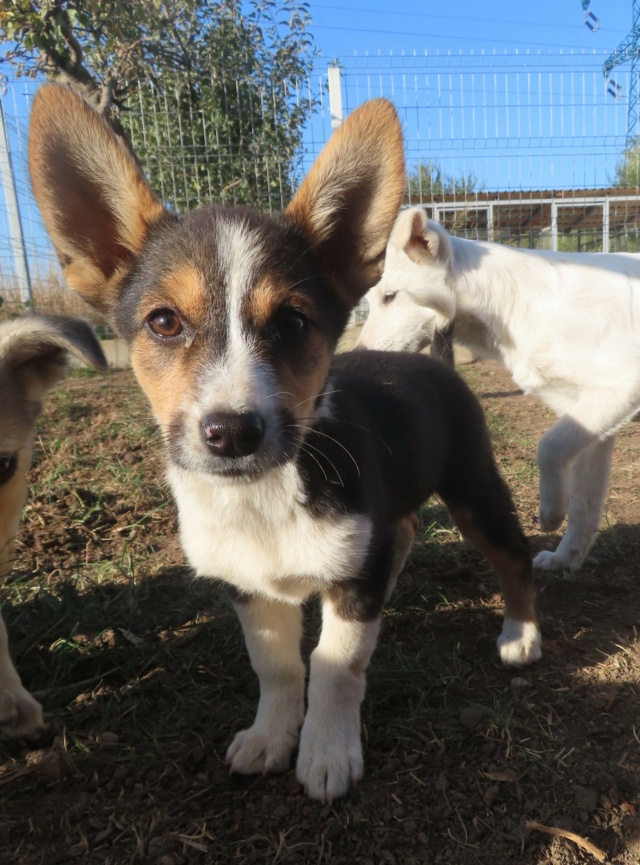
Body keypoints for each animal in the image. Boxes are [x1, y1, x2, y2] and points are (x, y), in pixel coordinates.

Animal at [30, 84, 540, 800]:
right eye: (164, 322)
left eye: (294, 323)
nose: (233, 433)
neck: (264, 493)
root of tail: (437, 361)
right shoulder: (251, 589)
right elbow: (276, 667)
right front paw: (271, 737)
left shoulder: (350, 584)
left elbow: (333, 663)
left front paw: (327, 753)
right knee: (403, 531)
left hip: (473, 487)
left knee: (513, 555)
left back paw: (521, 636)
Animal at [358, 208, 640, 572]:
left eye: (390, 296)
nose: (358, 355)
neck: (519, 304)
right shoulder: (592, 422)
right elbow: (584, 507)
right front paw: (565, 559)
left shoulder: (622, 387)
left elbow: (548, 446)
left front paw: (551, 513)